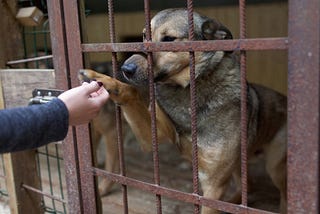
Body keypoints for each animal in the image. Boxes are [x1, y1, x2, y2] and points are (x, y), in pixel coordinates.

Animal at [79, 8, 288, 214]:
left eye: (169, 39)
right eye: (144, 35)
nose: (125, 69)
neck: (186, 93)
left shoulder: (213, 185)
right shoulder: (153, 137)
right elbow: (131, 92)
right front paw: (101, 80)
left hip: (275, 168)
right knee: (247, 186)